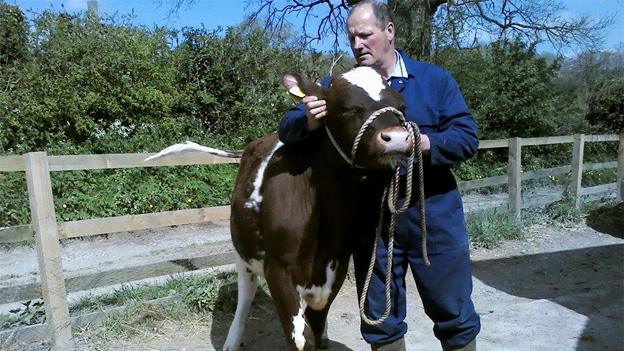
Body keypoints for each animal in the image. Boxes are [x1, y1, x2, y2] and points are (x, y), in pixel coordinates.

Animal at [147, 66, 414, 351]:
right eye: (347, 108)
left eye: (401, 105)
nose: (397, 138)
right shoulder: (278, 269)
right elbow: (301, 338)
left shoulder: (336, 266)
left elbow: (315, 326)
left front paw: (322, 334)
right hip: (243, 252)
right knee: (246, 293)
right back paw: (232, 339)